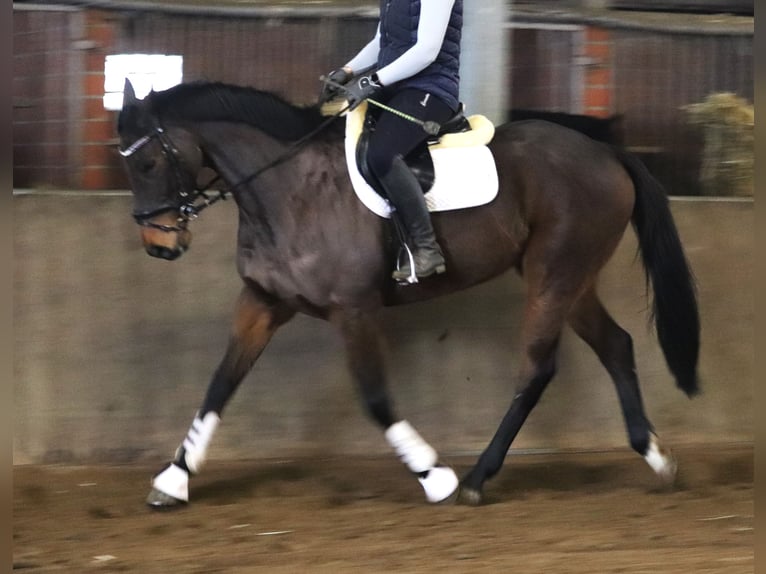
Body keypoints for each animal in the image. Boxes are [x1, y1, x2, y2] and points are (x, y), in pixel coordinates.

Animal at [117, 80, 700, 508]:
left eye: (147, 163)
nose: (158, 246)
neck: (290, 190)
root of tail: (606, 152)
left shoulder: (354, 309)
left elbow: (375, 399)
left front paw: (433, 474)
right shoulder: (262, 302)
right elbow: (220, 384)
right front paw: (173, 480)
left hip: (554, 273)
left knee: (538, 369)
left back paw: (475, 480)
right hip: (572, 279)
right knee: (616, 346)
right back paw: (656, 458)